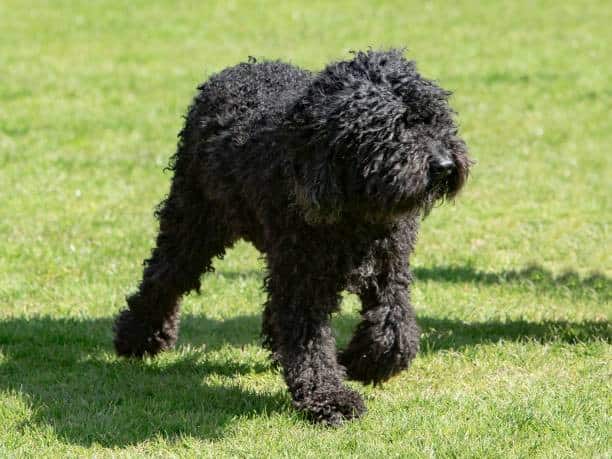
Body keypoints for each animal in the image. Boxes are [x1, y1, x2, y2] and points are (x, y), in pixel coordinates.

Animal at [113, 48, 468, 426]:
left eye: (434, 118)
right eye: (394, 125)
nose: (445, 165)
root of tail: (240, 68)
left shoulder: (389, 266)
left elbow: (395, 329)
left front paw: (360, 362)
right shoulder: (305, 278)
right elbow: (310, 343)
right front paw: (329, 398)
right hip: (194, 223)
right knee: (163, 276)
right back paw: (139, 337)